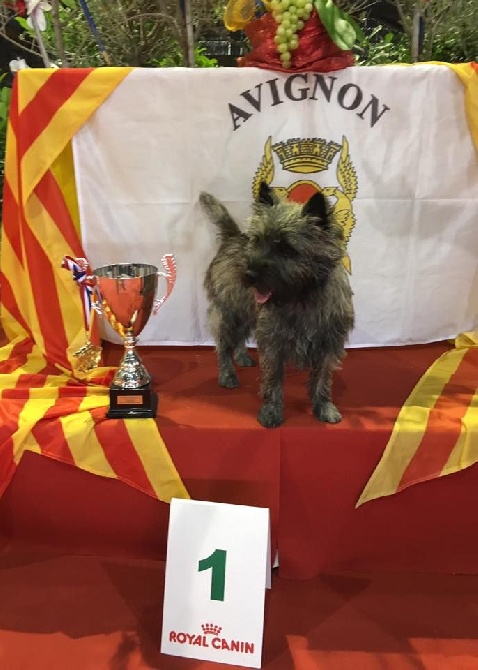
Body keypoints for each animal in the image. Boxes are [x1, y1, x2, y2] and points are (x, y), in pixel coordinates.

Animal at [199, 182, 354, 430]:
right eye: (257, 241)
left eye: (288, 249)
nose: (249, 274)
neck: (301, 298)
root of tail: (233, 237)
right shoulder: (274, 342)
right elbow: (273, 380)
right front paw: (271, 412)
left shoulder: (328, 343)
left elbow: (322, 379)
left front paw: (324, 407)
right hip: (230, 313)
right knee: (223, 346)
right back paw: (227, 375)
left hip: (248, 312)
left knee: (239, 338)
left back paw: (242, 357)